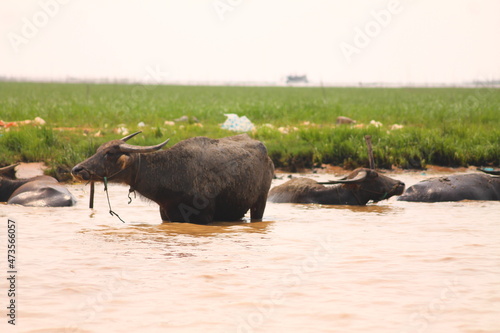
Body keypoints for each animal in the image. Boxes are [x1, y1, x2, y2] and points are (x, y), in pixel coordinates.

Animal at [71, 132, 274, 223]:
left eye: (110, 153)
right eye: (98, 150)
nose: (77, 169)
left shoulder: (205, 216)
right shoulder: (166, 215)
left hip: (260, 201)